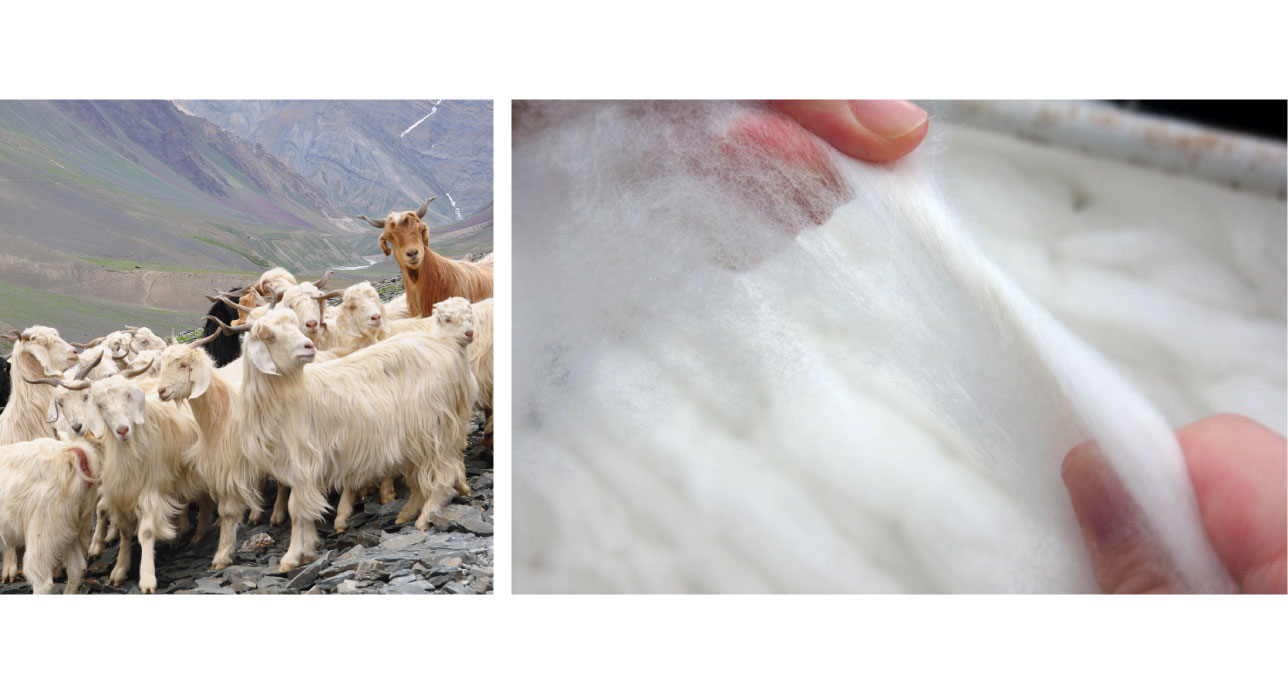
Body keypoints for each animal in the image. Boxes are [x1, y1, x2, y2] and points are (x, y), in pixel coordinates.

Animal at [224, 305, 475, 571]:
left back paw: (425, 518)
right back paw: (406, 514)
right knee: (420, 478)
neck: (293, 393)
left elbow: (297, 510)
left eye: (294, 325)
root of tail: (447, 346)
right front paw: (309, 548)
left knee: (443, 475)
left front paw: (291, 557)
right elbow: (308, 508)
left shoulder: (303, 461)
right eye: (269, 336)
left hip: (434, 429)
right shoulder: (302, 469)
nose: (308, 347)